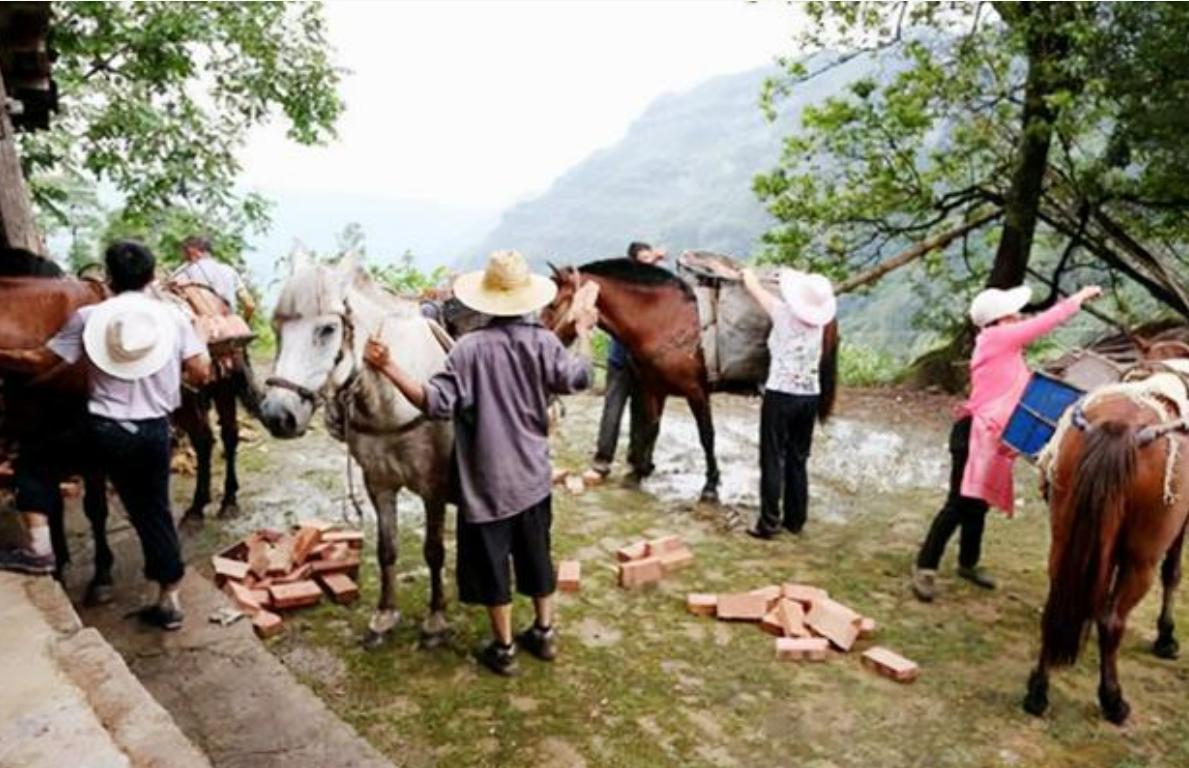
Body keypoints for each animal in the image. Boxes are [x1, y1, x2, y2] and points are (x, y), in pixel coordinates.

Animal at [261, 250, 454, 651]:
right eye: (277, 328)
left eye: (327, 330)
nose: (277, 415)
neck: (395, 401)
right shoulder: (378, 483)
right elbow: (386, 549)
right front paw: (384, 616)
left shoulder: (435, 487)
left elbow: (433, 550)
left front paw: (436, 619)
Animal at [539, 260, 837, 506]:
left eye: (552, 305)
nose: (540, 339)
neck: (662, 320)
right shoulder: (654, 389)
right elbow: (651, 428)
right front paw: (639, 472)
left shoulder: (696, 392)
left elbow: (707, 436)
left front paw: (710, 488)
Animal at [1022, 373, 1189, 727]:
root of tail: (1122, 427)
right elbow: (1173, 573)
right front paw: (1166, 638)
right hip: (1142, 559)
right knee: (1113, 621)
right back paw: (1113, 699)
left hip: (1064, 536)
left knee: (1055, 604)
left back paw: (1038, 690)